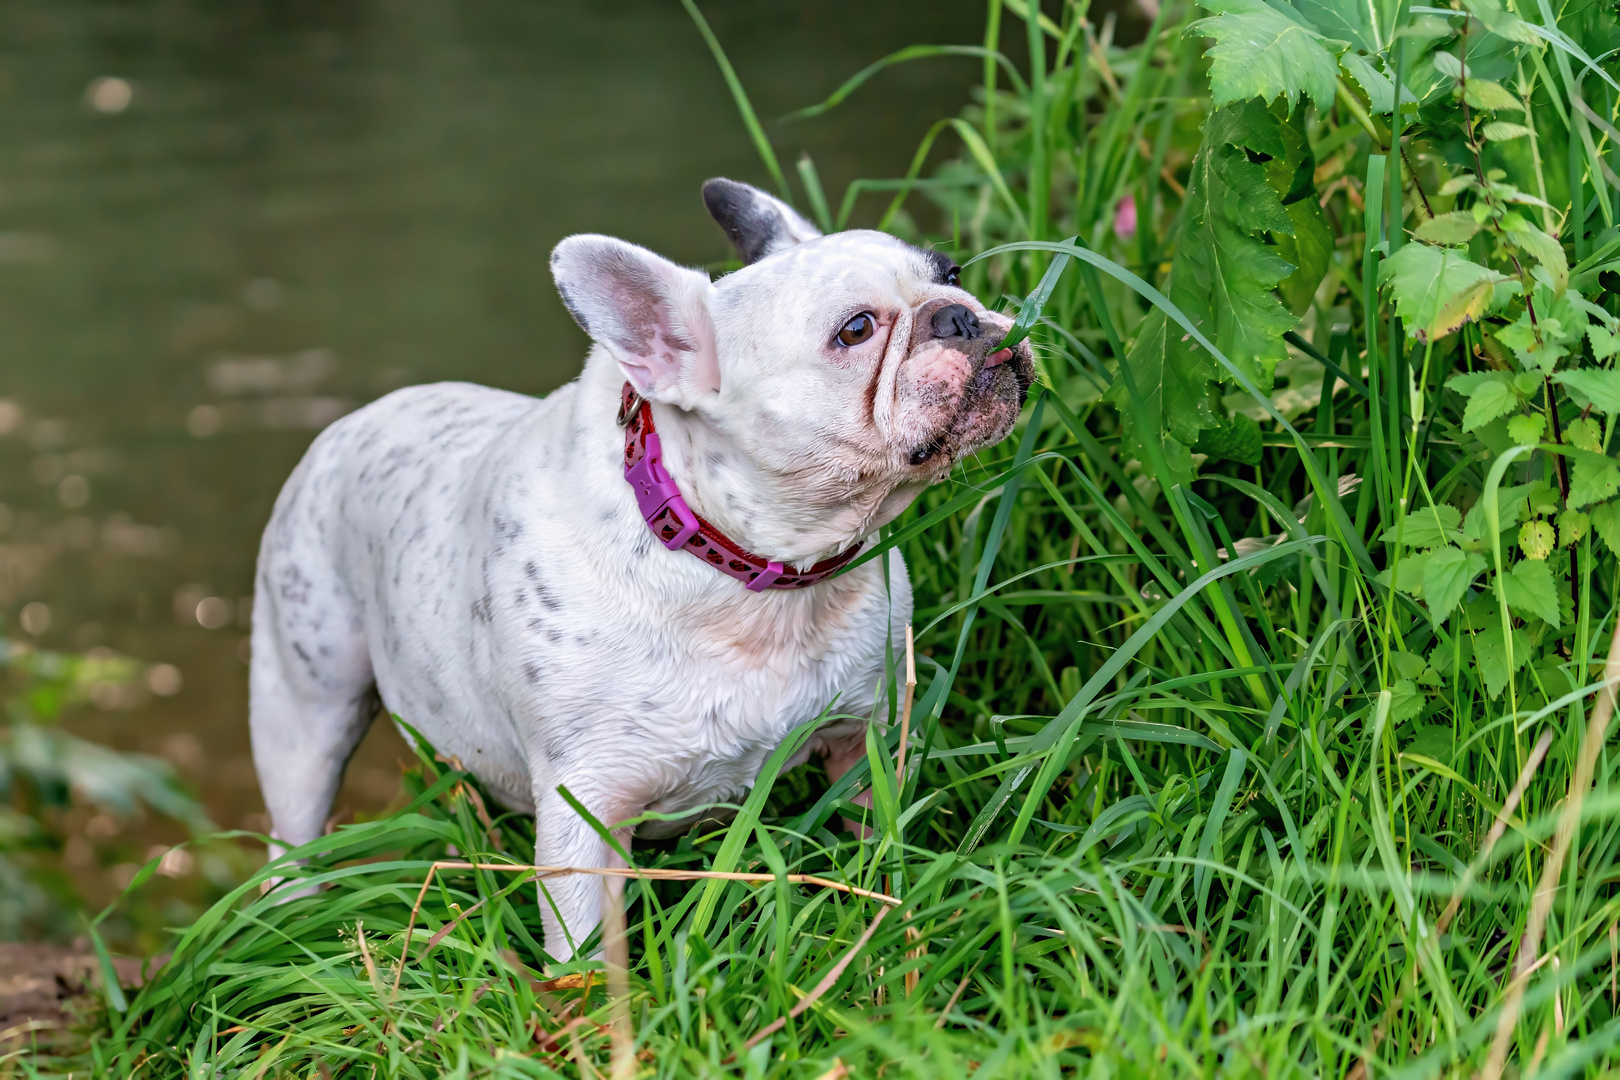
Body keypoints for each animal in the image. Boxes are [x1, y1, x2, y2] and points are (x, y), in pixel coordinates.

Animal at [252, 179, 1036, 965]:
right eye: (856, 330)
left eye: (953, 272)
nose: (959, 316)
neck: (755, 571)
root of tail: (358, 419)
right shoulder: (584, 811)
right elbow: (584, 956)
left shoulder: (866, 738)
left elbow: (876, 850)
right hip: (304, 713)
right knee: (294, 833)